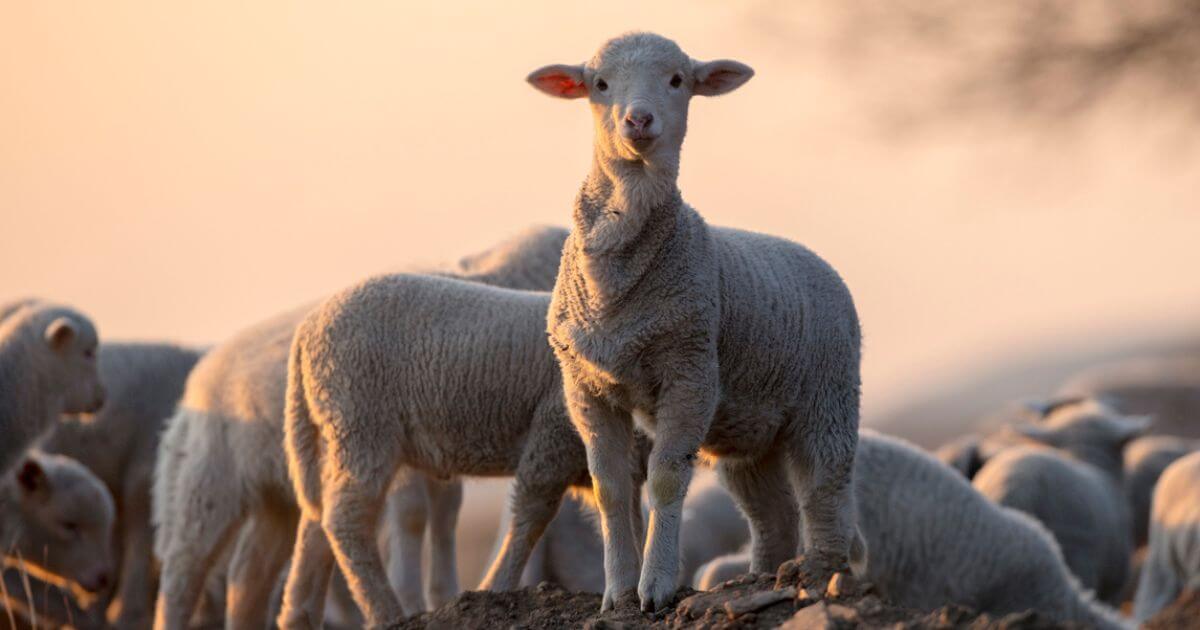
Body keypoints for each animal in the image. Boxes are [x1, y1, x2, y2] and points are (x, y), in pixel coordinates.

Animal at [152, 226, 569, 630]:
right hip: (211, 475)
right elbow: (413, 515)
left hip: (279, 492)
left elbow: (446, 514)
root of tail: (200, 377)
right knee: (185, 566)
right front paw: (415, 600)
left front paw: (446, 593)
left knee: (249, 573)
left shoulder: (442, 444)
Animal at [278, 274, 651, 630]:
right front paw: (495, 586)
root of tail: (305, 334)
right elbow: (531, 514)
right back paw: (386, 612)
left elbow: (631, 517)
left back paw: (299, 616)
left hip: (338, 432)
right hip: (361, 423)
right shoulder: (552, 433)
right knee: (346, 519)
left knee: (316, 518)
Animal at [528, 32, 864, 611]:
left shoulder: (689, 370)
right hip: (750, 429)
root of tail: (812, 257)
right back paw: (762, 578)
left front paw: (655, 586)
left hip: (829, 395)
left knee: (826, 487)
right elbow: (610, 488)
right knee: (771, 513)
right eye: (599, 84)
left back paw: (821, 573)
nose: (638, 120)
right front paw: (616, 593)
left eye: (677, 80)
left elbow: (665, 479)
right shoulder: (585, 386)